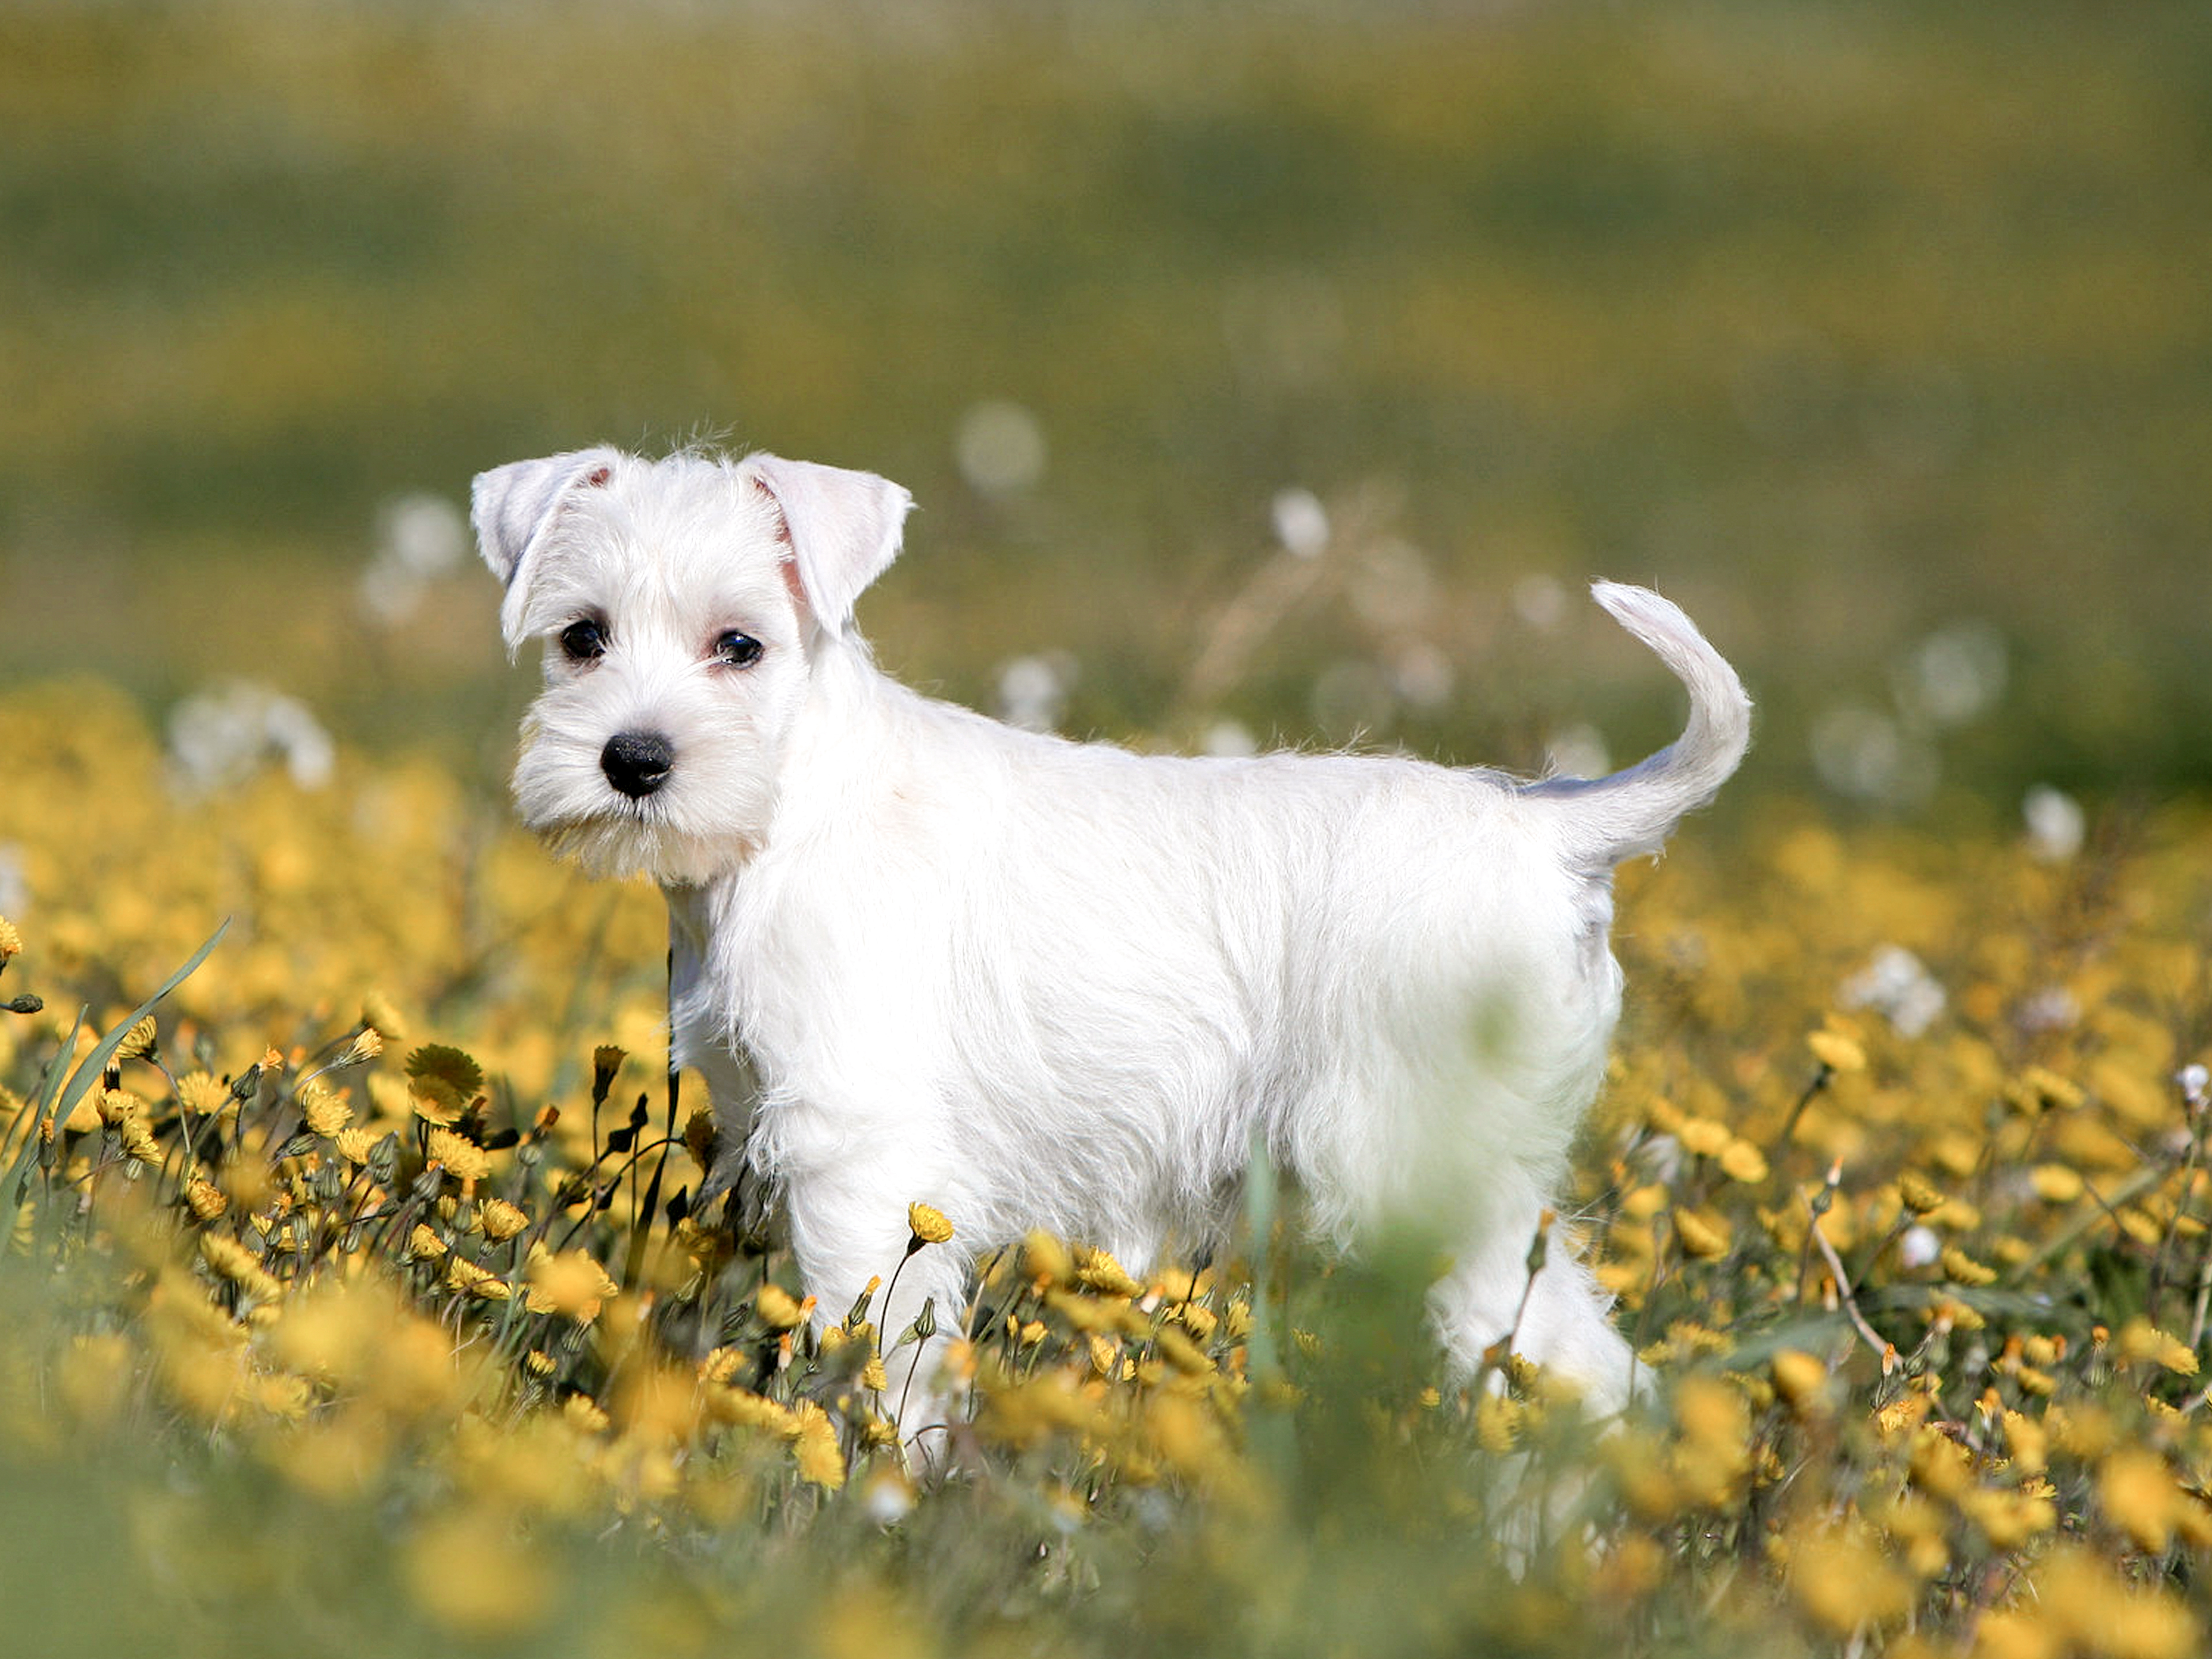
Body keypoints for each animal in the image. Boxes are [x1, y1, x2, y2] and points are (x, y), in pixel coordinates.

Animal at [475, 449, 1752, 1433]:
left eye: (739, 647)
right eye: (582, 639)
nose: (634, 762)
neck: (793, 810)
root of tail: (1553, 827)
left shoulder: (859, 1157)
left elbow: (876, 1349)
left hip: (1425, 1167)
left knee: (1582, 1379)